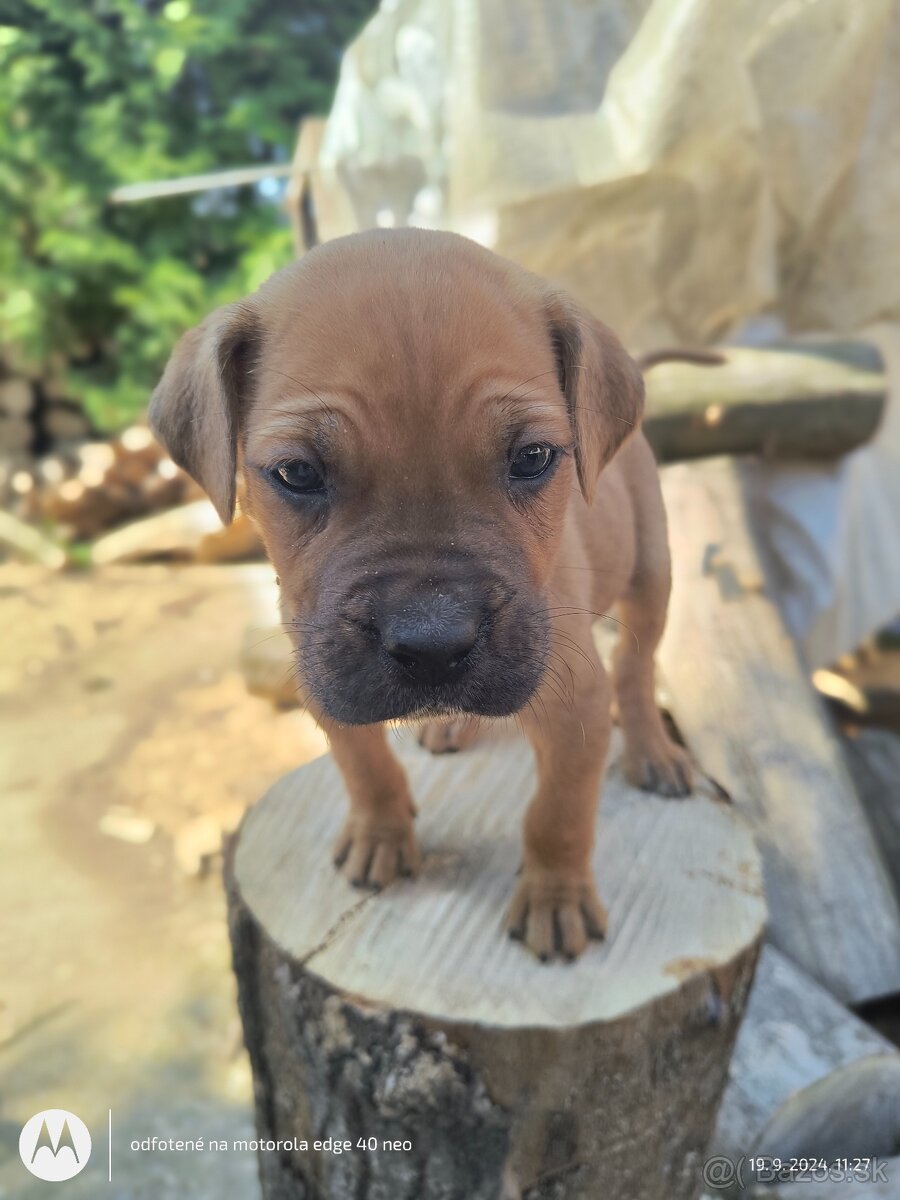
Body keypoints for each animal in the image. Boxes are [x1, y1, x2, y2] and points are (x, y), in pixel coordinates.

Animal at [151, 229, 696, 964]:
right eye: (296, 473)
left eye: (533, 458)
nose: (435, 645)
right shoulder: (323, 678)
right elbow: (363, 763)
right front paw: (380, 832)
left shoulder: (577, 703)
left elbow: (558, 812)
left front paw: (556, 897)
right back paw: (450, 721)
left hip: (651, 577)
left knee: (637, 669)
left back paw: (652, 752)